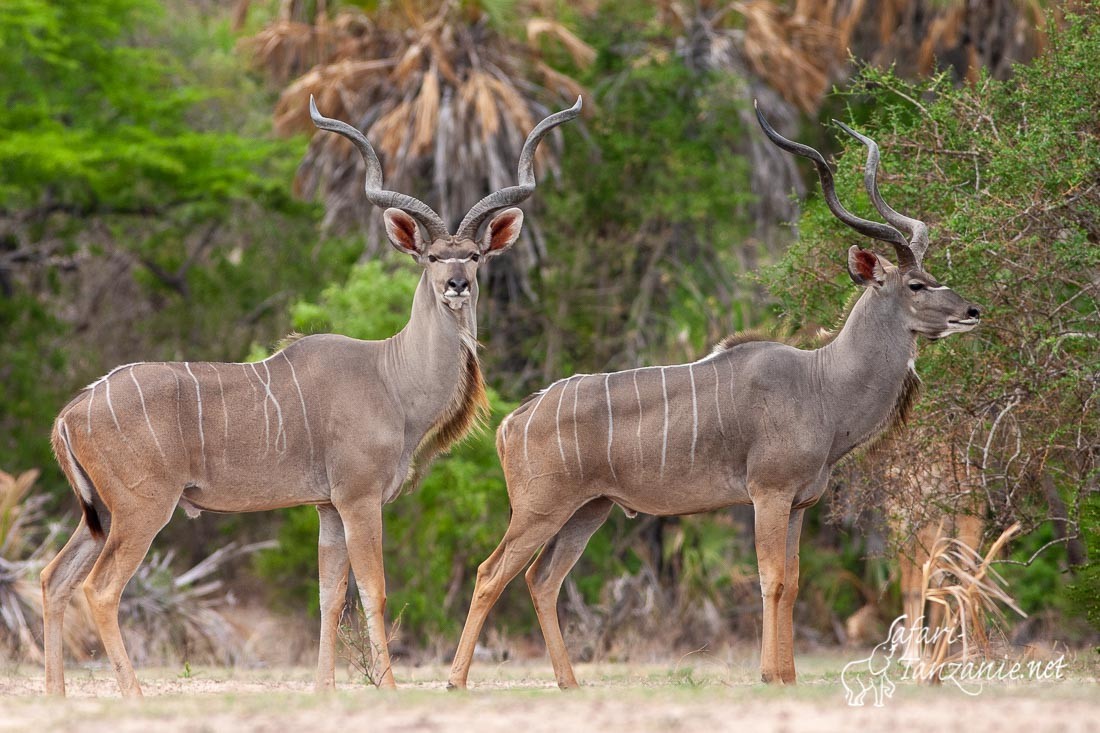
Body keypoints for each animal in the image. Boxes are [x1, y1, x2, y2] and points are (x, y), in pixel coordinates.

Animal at [40, 94, 585, 695]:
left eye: (475, 255)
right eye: (431, 257)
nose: (457, 284)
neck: (391, 378)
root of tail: (70, 412)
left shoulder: (326, 507)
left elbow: (328, 595)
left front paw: (325, 688)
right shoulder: (358, 498)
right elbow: (373, 590)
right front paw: (388, 687)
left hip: (101, 515)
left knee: (52, 577)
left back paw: (57, 696)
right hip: (142, 510)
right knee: (100, 588)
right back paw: (132, 695)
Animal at [451, 102, 985, 686]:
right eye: (916, 285)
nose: (972, 311)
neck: (822, 384)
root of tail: (513, 421)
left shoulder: (799, 503)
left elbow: (792, 582)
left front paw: (788, 676)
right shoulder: (768, 494)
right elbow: (772, 579)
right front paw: (770, 676)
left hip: (588, 511)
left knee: (542, 580)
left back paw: (569, 684)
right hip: (540, 509)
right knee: (490, 572)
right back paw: (457, 680)